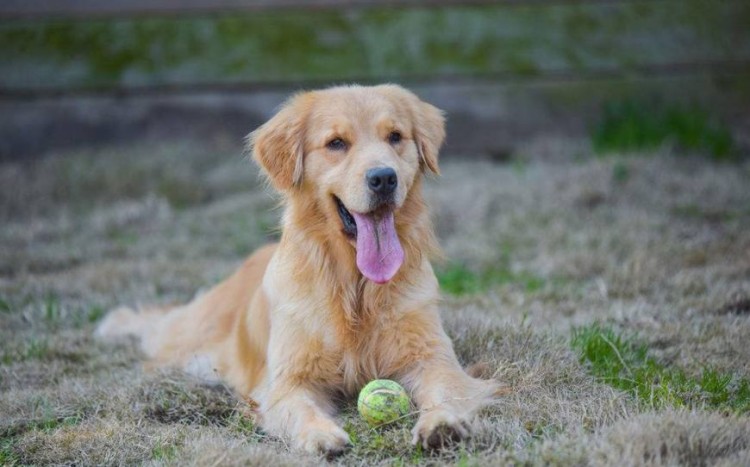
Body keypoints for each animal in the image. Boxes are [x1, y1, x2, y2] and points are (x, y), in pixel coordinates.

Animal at [97, 85, 502, 458]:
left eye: (395, 137)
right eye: (336, 143)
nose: (384, 178)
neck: (354, 286)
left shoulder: (431, 358)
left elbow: (446, 390)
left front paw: (443, 424)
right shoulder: (289, 379)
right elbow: (299, 408)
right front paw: (320, 435)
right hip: (189, 339)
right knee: (157, 327)